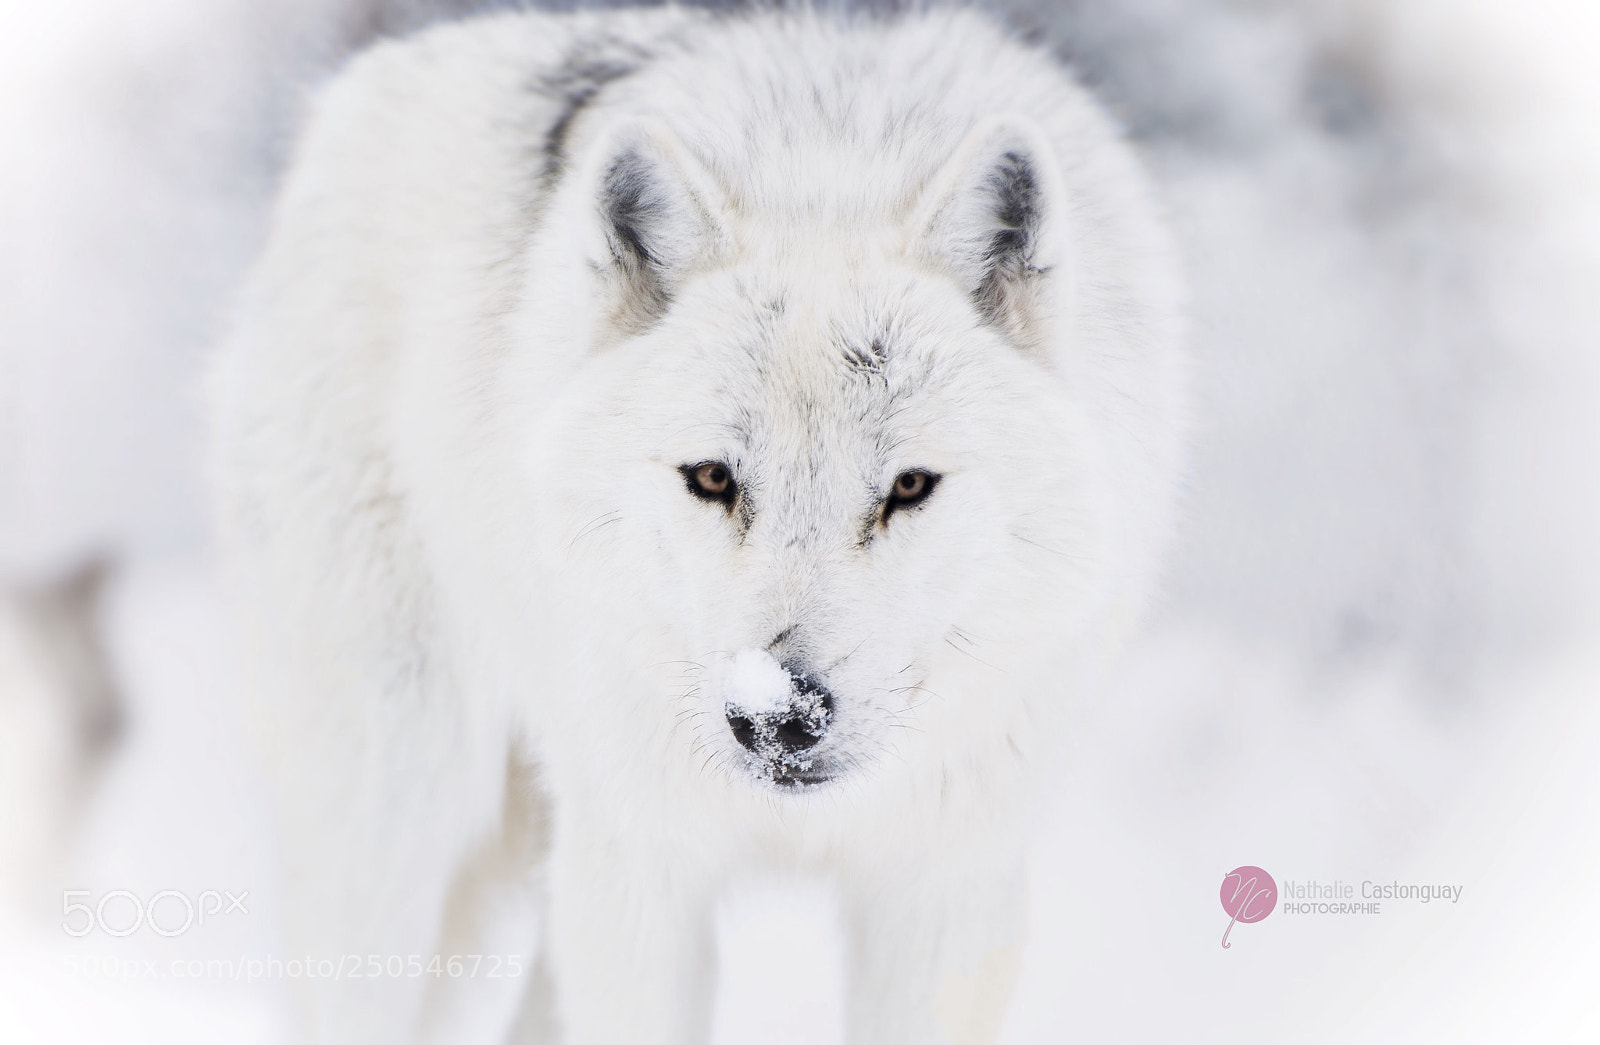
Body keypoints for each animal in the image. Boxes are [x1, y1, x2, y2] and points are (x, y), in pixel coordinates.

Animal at [211, 5, 1186, 1043]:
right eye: (714, 478)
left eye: (910, 486)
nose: (779, 715)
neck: (828, 166)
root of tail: (358, 87)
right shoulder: (641, 868)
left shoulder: (942, 894)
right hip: (399, 805)